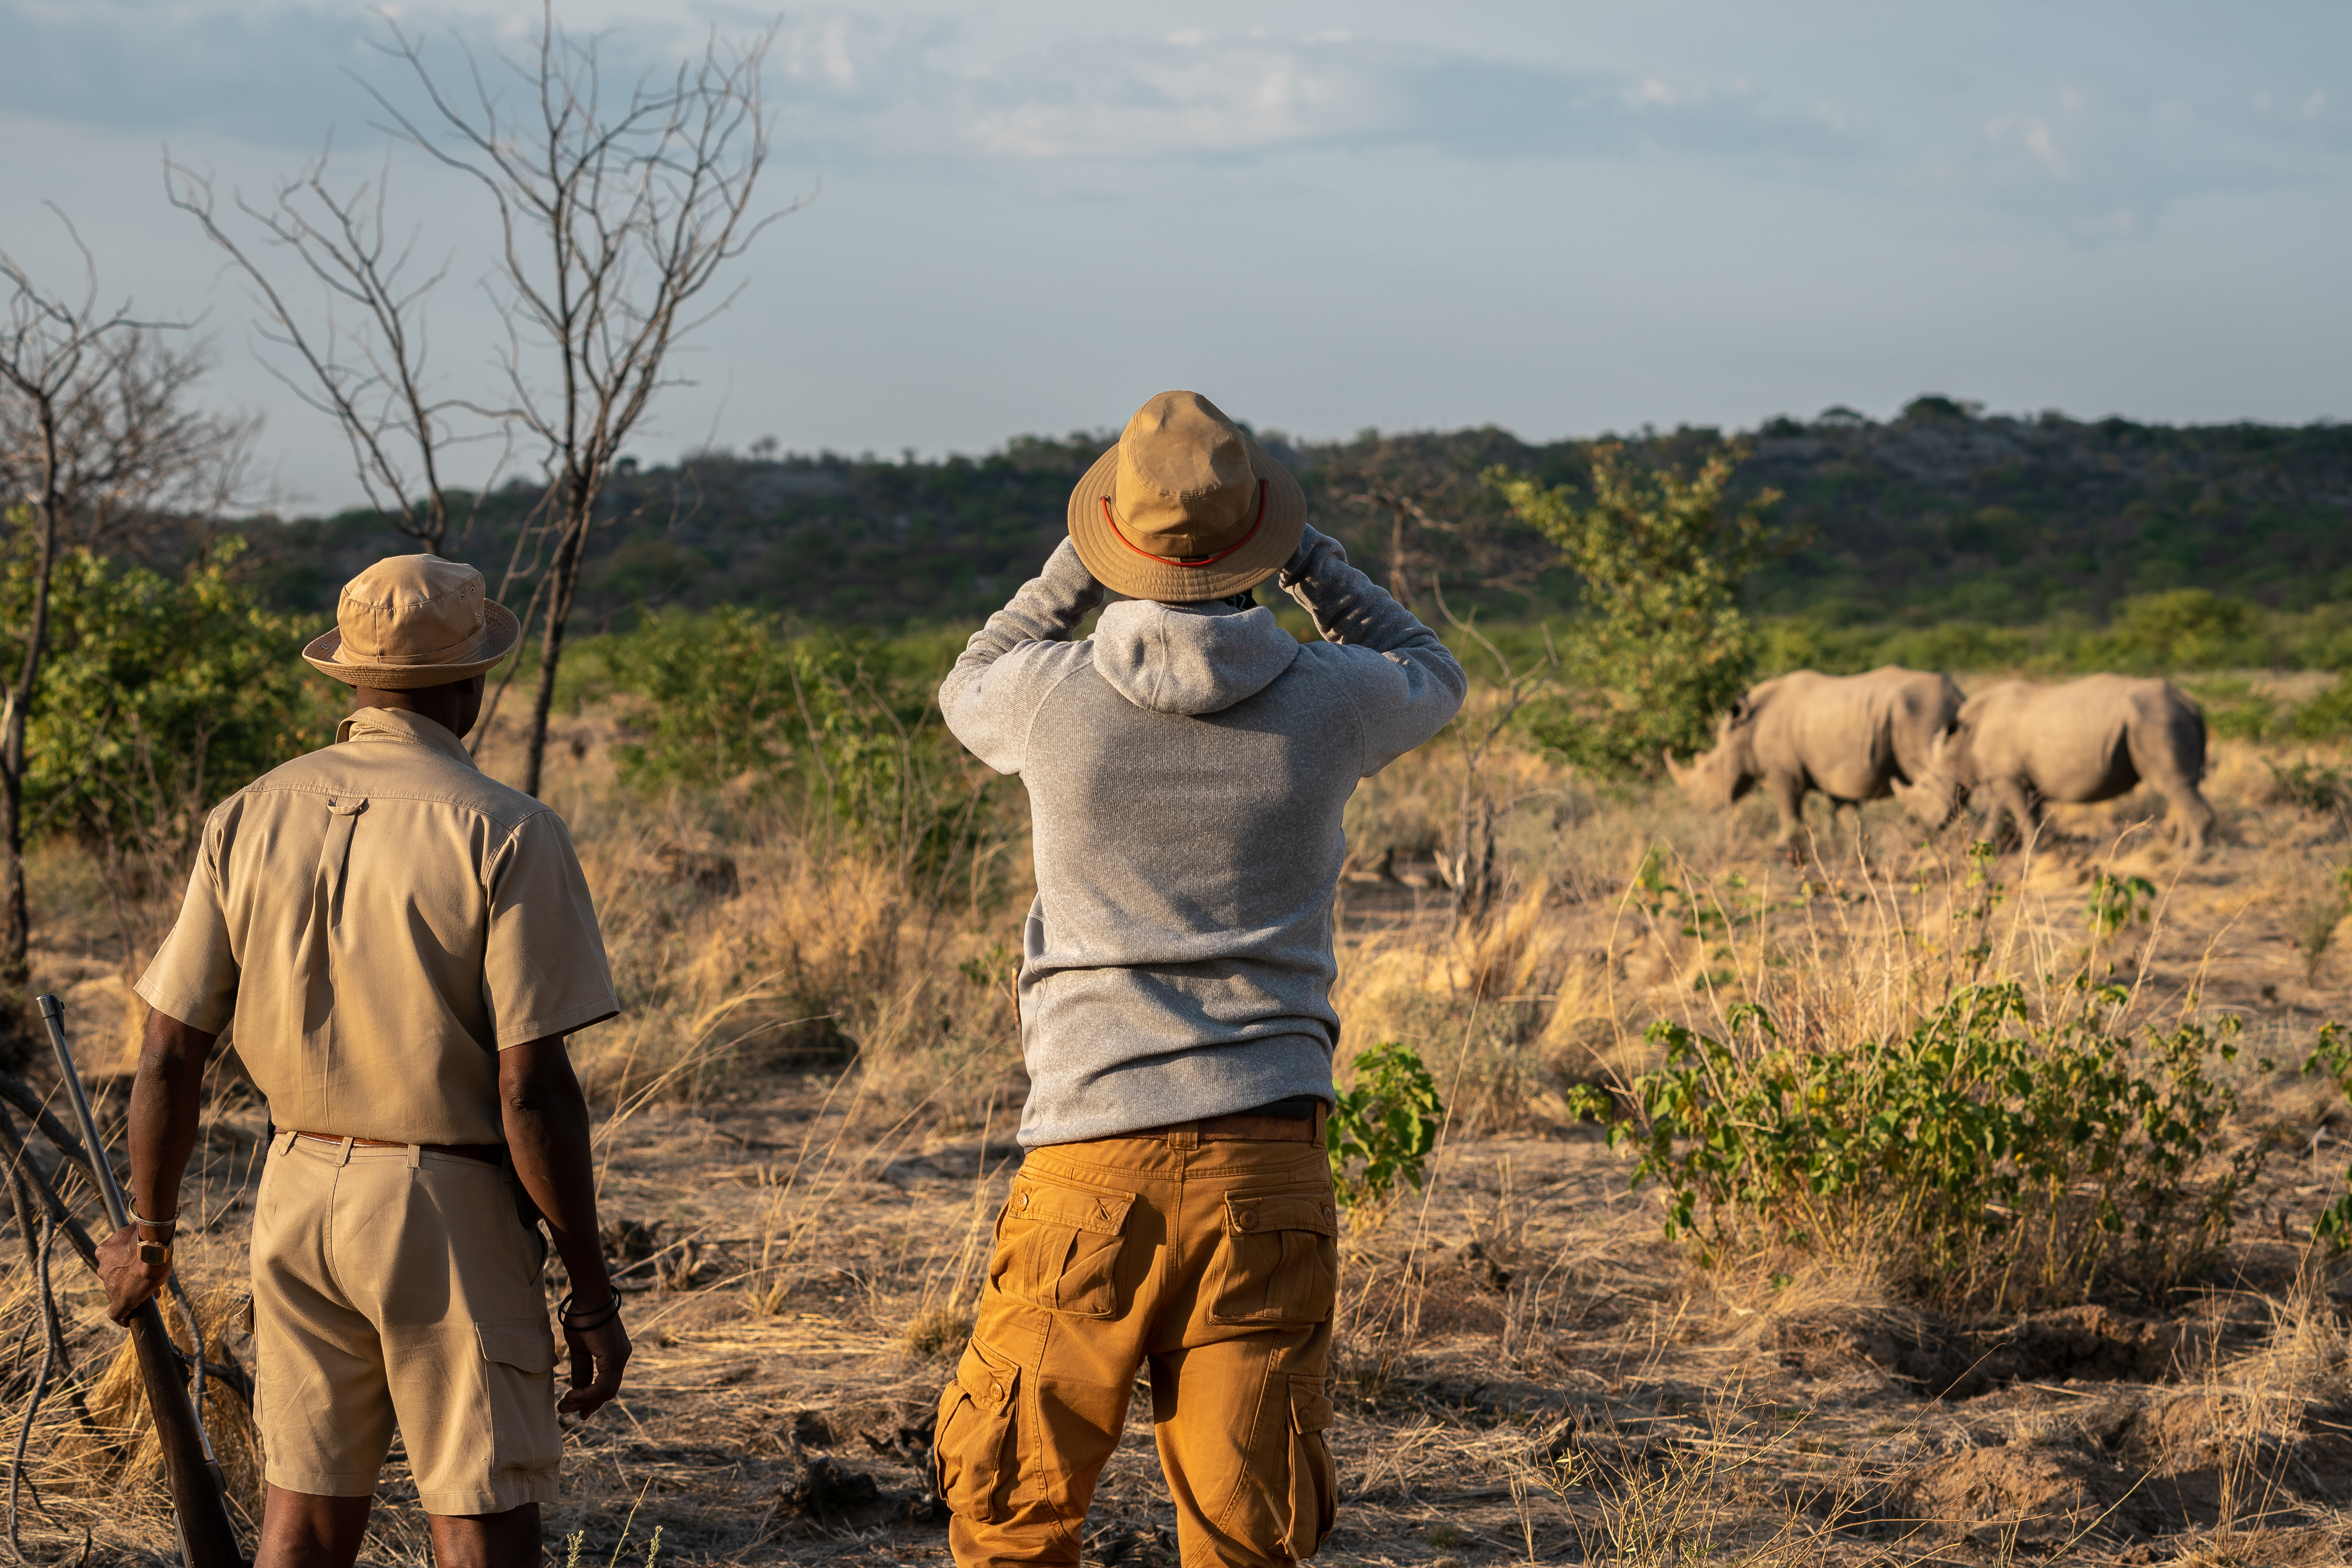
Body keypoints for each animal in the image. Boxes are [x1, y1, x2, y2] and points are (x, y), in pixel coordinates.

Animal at [1663, 667, 1965, 853]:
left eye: (1709, 769)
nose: (1697, 807)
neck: (1745, 728)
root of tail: (1957, 693)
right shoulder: (1837, 773)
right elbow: (1847, 814)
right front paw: (1859, 846)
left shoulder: (1782, 772)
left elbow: (1788, 807)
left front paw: (1781, 847)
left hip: (1920, 714)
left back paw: (1937, 832)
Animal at [1900, 674, 2213, 855]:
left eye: (1925, 786)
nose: (1921, 828)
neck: (1958, 744)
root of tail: (2190, 704)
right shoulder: (2010, 777)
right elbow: (2010, 813)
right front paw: (1984, 850)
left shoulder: (2008, 778)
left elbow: (2020, 814)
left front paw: (2028, 855)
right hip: (2162, 719)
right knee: (2181, 787)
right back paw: (2179, 848)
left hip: (2158, 721)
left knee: (2174, 784)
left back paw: (2191, 857)